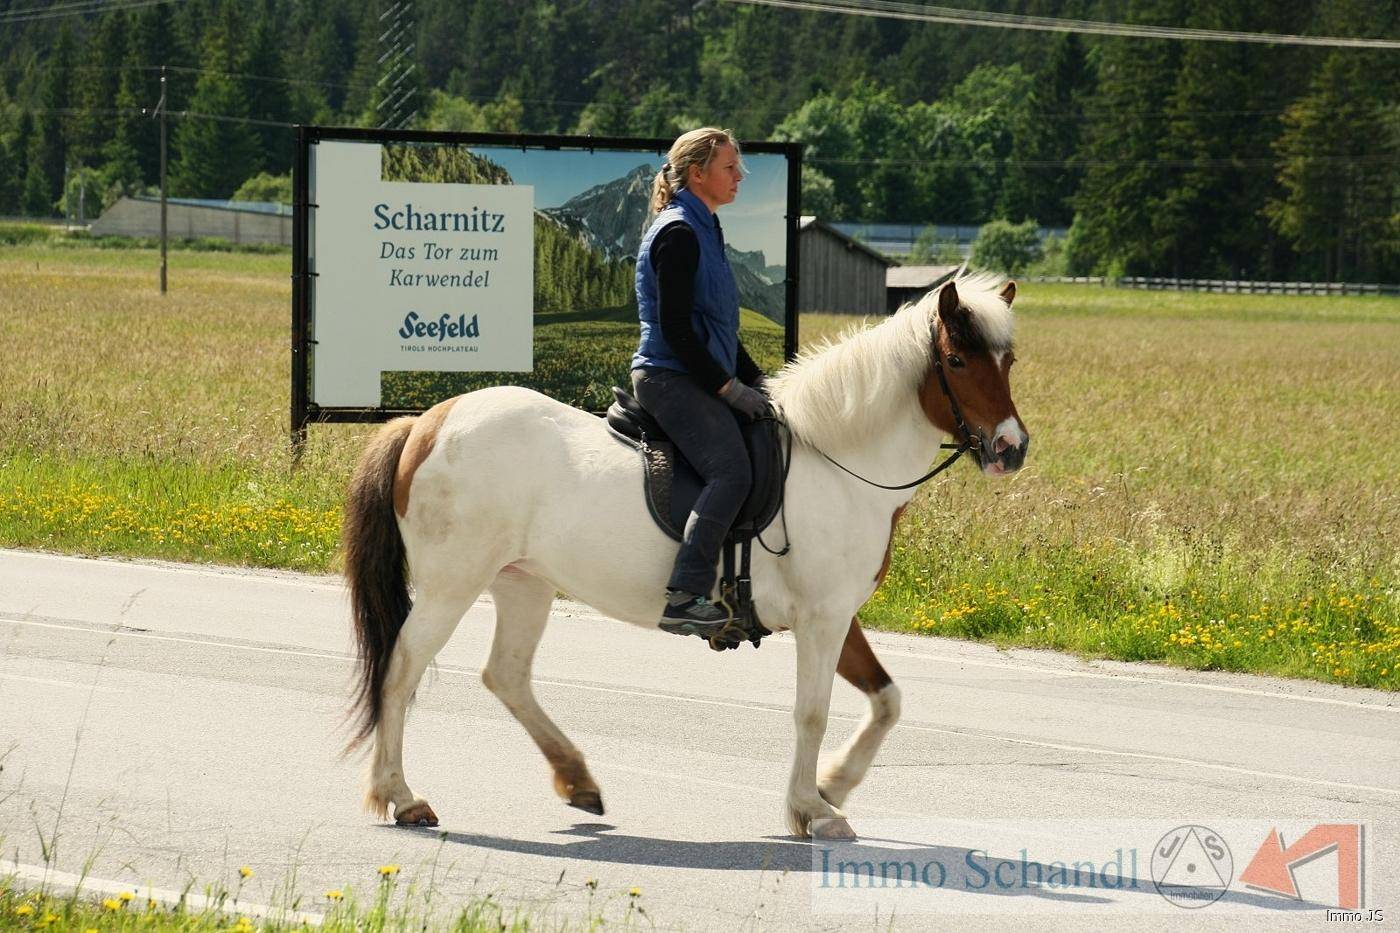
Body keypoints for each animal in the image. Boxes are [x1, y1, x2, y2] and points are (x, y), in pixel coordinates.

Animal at [340, 270, 1030, 834]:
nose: (1011, 448)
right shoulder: (822, 619)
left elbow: (887, 700)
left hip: (523, 582)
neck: (838, 460)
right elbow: (812, 711)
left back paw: (578, 780)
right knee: (402, 669)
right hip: (452, 585)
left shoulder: (838, 615)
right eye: (957, 360)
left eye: (1009, 360)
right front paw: (812, 809)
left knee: (506, 674)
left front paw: (833, 786)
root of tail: (426, 423)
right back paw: (401, 797)